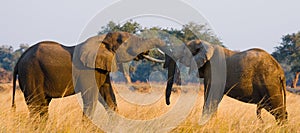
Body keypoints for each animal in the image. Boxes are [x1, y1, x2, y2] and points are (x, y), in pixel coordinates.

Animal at [11, 30, 165, 119]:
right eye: (125, 43)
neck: (102, 39)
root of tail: (19, 61)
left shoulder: (101, 68)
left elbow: (109, 97)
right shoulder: (88, 70)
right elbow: (91, 98)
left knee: (42, 106)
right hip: (31, 73)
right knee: (36, 105)